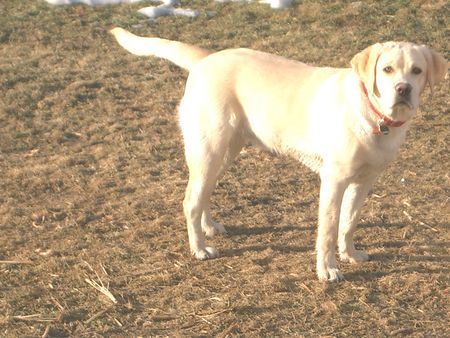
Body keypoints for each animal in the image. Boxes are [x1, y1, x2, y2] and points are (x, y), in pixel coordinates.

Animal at [111, 27, 446, 282]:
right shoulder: (333, 181)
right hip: (209, 149)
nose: (403, 89)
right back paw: (200, 249)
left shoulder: (364, 181)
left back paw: (209, 228)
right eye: (386, 69)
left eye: (417, 71)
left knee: (201, 193)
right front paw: (328, 270)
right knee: (190, 200)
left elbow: (349, 223)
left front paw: (350, 254)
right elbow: (328, 230)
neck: (374, 117)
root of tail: (206, 59)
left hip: (224, 153)